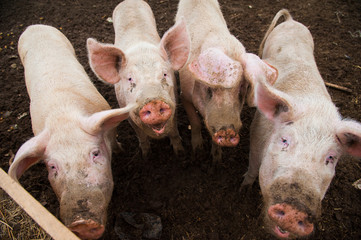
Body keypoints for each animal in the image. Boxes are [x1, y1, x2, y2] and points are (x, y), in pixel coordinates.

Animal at [8, 24, 135, 240]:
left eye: (95, 154)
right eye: (52, 166)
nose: (82, 222)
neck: (62, 119)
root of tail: (35, 26)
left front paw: (120, 150)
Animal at [86, 0, 190, 159]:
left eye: (164, 74)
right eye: (130, 78)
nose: (154, 102)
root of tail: (128, 1)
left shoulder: (174, 106)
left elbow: (174, 132)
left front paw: (180, 153)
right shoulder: (127, 113)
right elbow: (141, 136)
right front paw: (146, 156)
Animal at [176, 0, 278, 164]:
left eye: (242, 90)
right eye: (209, 90)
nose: (227, 131)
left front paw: (217, 161)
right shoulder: (184, 94)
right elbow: (195, 122)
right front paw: (198, 153)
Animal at [239, 8, 361, 238]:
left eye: (330, 158)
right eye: (284, 141)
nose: (295, 209)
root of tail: (291, 21)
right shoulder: (255, 137)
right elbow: (251, 168)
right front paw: (243, 188)